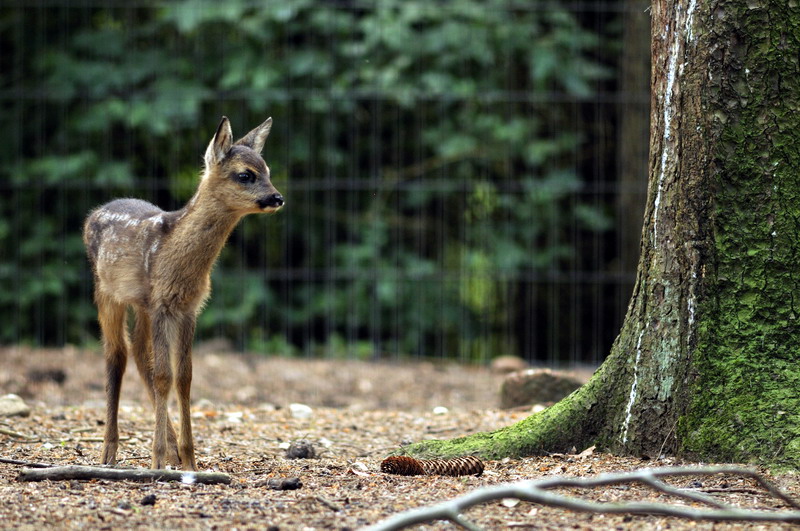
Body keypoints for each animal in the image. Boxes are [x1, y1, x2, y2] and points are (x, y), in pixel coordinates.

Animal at [83, 116, 283, 470]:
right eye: (246, 174)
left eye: (268, 170)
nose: (277, 198)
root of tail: (92, 214)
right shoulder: (163, 305)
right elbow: (165, 376)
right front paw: (156, 462)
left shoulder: (188, 308)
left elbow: (185, 378)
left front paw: (189, 461)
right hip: (106, 290)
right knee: (115, 354)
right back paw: (109, 452)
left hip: (142, 304)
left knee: (139, 352)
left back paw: (171, 448)